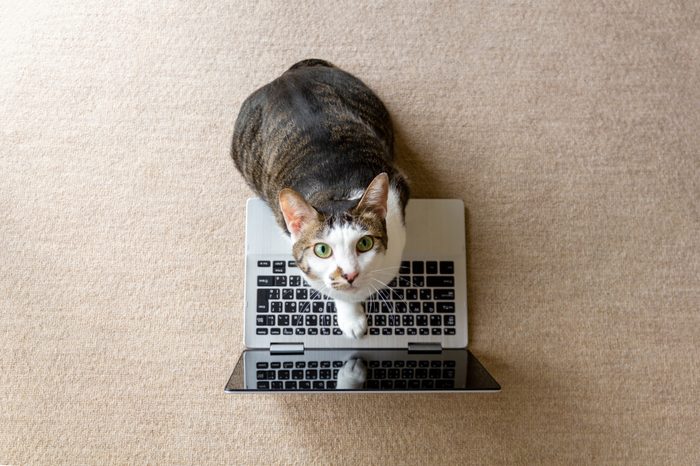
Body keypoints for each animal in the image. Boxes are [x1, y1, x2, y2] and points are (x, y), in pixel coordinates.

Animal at [230, 60, 410, 340]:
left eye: (365, 243)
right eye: (322, 250)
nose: (349, 274)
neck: (336, 191)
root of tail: (286, 77)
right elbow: (333, 290)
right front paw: (352, 317)